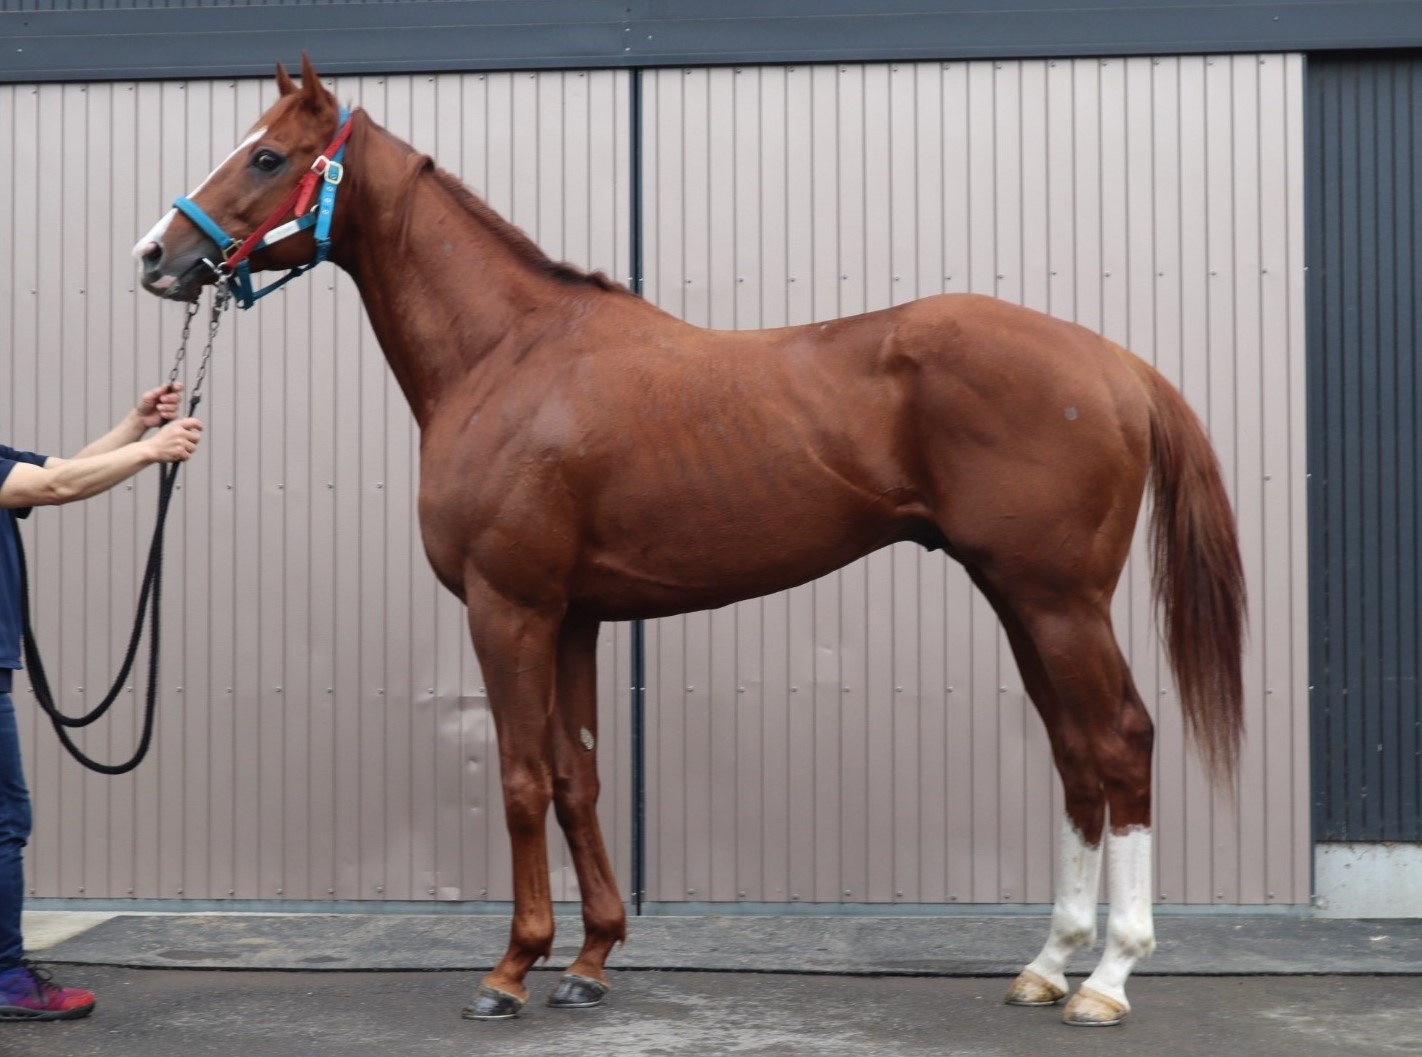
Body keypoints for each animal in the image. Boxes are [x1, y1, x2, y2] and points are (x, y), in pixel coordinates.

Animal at [133, 56, 1245, 1027]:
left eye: (266, 156)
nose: (155, 255)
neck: (508, 355)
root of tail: (1114, 364)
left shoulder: (510, 606)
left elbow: (521, 778)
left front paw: (511, 969)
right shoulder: (574, 616)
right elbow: (577, 776)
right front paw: (589, 961)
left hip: (1058, 602)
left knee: (1120, 741)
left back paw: (1109, 978)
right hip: (1022, 600)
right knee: (1075, 756)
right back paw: (1048, 964)